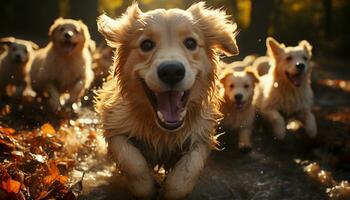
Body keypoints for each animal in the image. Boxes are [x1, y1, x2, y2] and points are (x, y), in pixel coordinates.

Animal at [94, 2, 239, 199]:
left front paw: (170, 189)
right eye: (146, 44)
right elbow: (132, 161)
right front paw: (146, 187)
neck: (162, 131)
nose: (171, 71)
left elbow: (187, 173)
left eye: (191, 43)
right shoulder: (115, 124)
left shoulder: (202, 134)